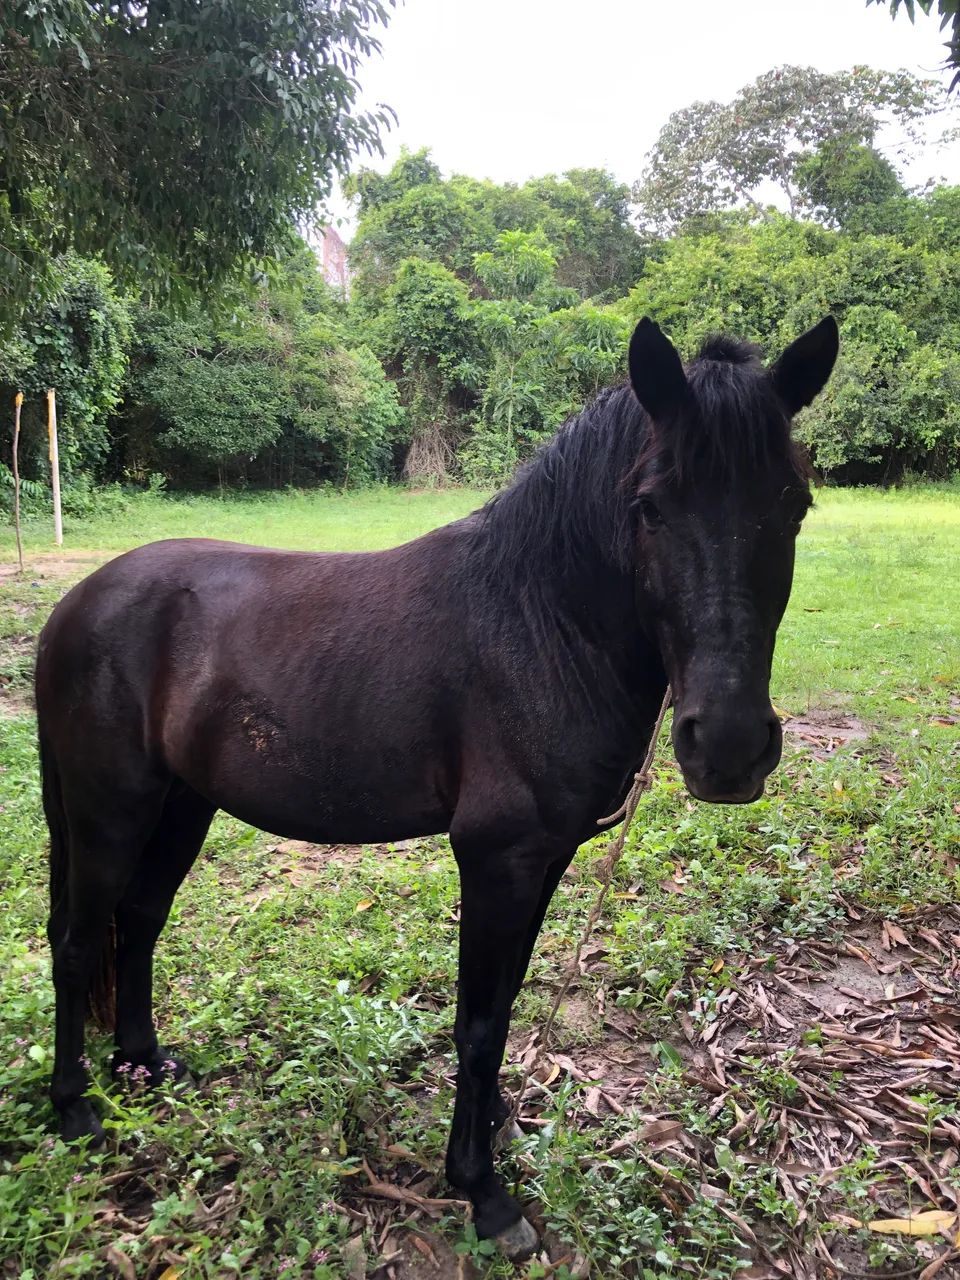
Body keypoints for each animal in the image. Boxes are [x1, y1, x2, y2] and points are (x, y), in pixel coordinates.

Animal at [37, 315, 838, 1259]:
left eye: (794, 503)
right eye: (650, 505)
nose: (730, 748)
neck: (540, 619)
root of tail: (76, 604)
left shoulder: (544, 860)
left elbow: (506, 1001)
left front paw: (494, 1125)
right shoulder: (497, 858)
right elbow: (479, 1023)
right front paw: (481, 1190)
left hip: (182, 806)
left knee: (138, 922)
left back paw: (144, 1065)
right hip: (109, 812)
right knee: (77, 939)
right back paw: (74, 1108)